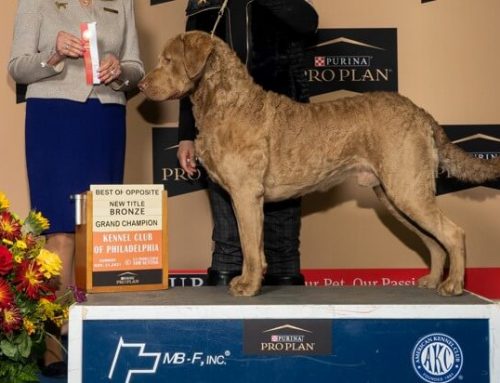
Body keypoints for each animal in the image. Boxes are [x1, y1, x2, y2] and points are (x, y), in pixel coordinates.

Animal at [139, 31, 500, 298]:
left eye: (167, 60)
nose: (140, 85)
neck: (227, 102)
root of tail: (421, 112)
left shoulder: (246, 192)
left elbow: (251, 246)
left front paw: (249, 286)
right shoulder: (243, 197)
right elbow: (250, 242)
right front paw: (247, 281)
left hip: (406, 187)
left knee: (453, 232)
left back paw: (453, 286)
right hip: (396, 194)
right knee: (432, 240)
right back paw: (432, 280)